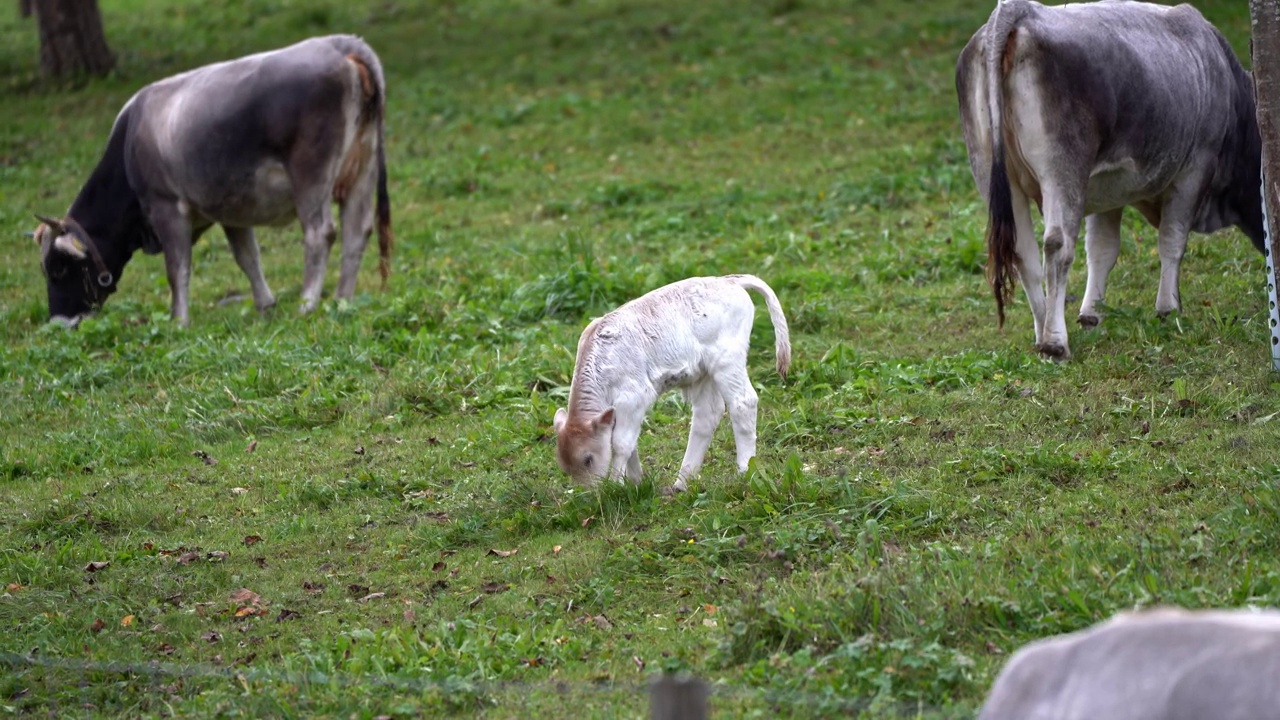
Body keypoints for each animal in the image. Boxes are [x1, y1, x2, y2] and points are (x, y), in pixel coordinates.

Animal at [36, 34, 394, 325]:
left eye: (58, 268)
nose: (59, 322)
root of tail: (340, 45)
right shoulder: (232, 209)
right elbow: (247, 257)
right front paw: (265, 305)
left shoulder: (166, 206)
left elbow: (176, 269)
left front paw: (178, 322)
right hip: (363, 166)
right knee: (357, 230)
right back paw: (342, 300)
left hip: (311, 174)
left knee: (321, 233)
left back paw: (307, 303)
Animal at [552, 271, 788, 489]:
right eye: (565, 468)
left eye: (588, 459)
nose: (591, 493)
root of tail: (728, 280)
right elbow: (630, 442)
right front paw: (635, 482)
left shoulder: (633, 397)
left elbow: (620, 444)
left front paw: (616, 486)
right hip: (703, 372)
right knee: (707, 414)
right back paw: (682, 483)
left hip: (727, 359)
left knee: (743, 402)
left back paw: (745, 471)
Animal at [957, 0, 1264, 358]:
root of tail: (1023, 10)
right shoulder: (1195, 169)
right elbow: (1172, 240)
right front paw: (1169, 309)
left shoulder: (1107, 189)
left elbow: (1102, 249)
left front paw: (1092, 314)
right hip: (1064, 167)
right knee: (1057, 246)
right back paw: (1055, 343)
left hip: (989, 167)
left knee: (1024, 252)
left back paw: (1042, 333)